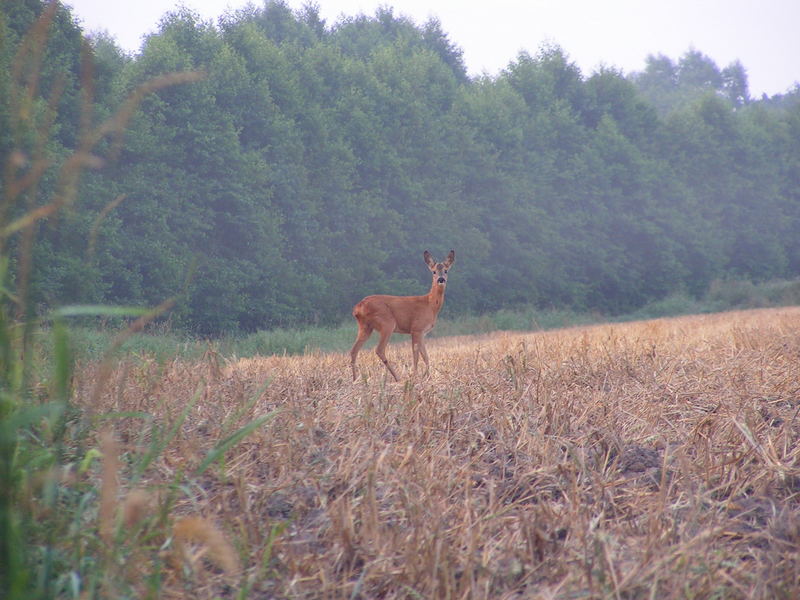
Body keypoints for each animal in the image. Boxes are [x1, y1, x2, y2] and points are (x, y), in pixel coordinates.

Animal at [352, 251, 456, 382]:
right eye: (434, 271)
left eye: (446, 270)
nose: (441, 279)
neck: (430, 305)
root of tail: (358, 308)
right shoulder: (416, 328)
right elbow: (416, 355)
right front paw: (415, 377)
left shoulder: (422, 332)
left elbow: (425, 356)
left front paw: (428, 377)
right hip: (387, 322)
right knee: (379, 349)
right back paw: (397, 378)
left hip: (365, 327)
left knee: (354, 350)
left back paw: (355, 379)